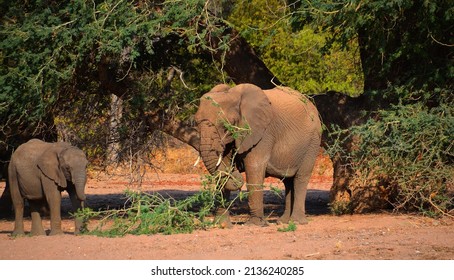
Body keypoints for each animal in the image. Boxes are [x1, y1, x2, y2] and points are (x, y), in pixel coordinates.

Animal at [195, 83, 322, 225]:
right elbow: (222, 169)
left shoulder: (263, 133)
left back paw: (296, 222)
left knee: (300, 178)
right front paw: (222, 225)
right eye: (195, 123)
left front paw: (254, 224)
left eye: (226, 125)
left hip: (313, 142)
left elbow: (254, 166)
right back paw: (283, 222)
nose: (237, 171)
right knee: (288, 181)